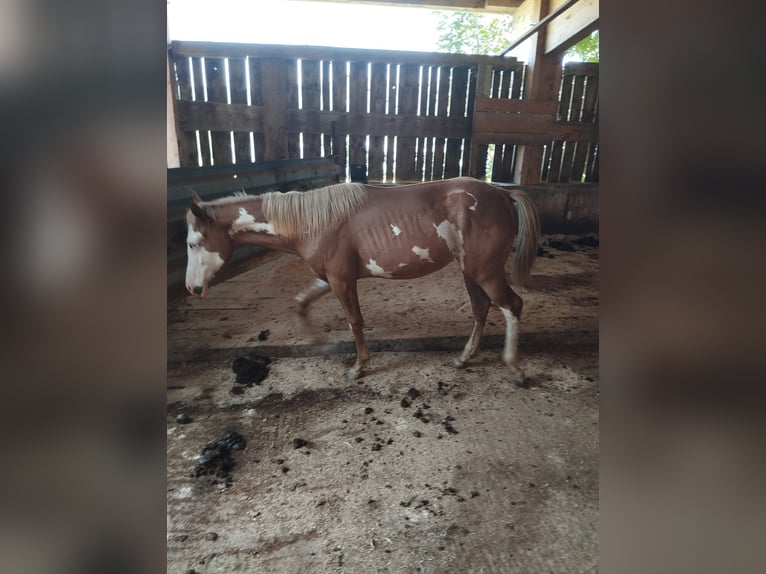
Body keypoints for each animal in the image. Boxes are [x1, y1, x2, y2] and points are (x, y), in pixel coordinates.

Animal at [188, 178, 540, 384]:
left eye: (194, 243)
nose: (192, 288)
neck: (315, 222)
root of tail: (503, 193)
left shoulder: (342, 281)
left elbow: (354, 321)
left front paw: (358, 367)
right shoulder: (329, 278)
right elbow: (301, 303)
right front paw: (320, 343)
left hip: (485, 272)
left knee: (512, 305)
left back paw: (514, 368)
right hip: (471, 272)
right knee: (481, 308)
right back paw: (464, 358)